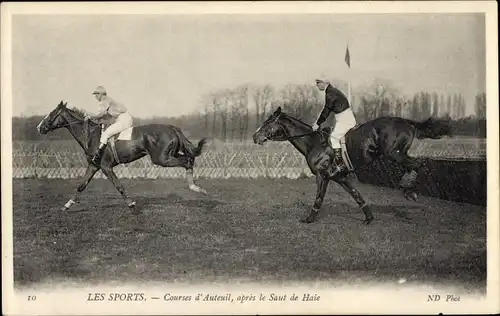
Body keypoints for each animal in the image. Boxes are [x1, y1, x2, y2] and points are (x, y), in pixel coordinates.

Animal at [35, 86, 207, 212]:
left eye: (52, 114)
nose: (39, 128)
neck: (89, 135)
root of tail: (172, 127)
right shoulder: (93, 166)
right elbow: (81, 185)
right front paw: (67, 205)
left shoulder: (105, 167)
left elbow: (119, 185)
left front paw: (131, 203)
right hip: (169, 155)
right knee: (189, 158)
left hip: (161, 159)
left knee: (187, 161)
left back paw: (195, 187)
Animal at [252, 76, 452, 225]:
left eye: (268, 122)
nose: (255, 137)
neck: (312, 142)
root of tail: (408, 122)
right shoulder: (340, 177)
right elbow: (357, 195)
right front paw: (369, 217)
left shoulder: (322, 175)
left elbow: (319, 198)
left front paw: (309, 219)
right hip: (398, 154)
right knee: (416, 163)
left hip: (394, 154)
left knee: (417, 163)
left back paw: (408, 188)